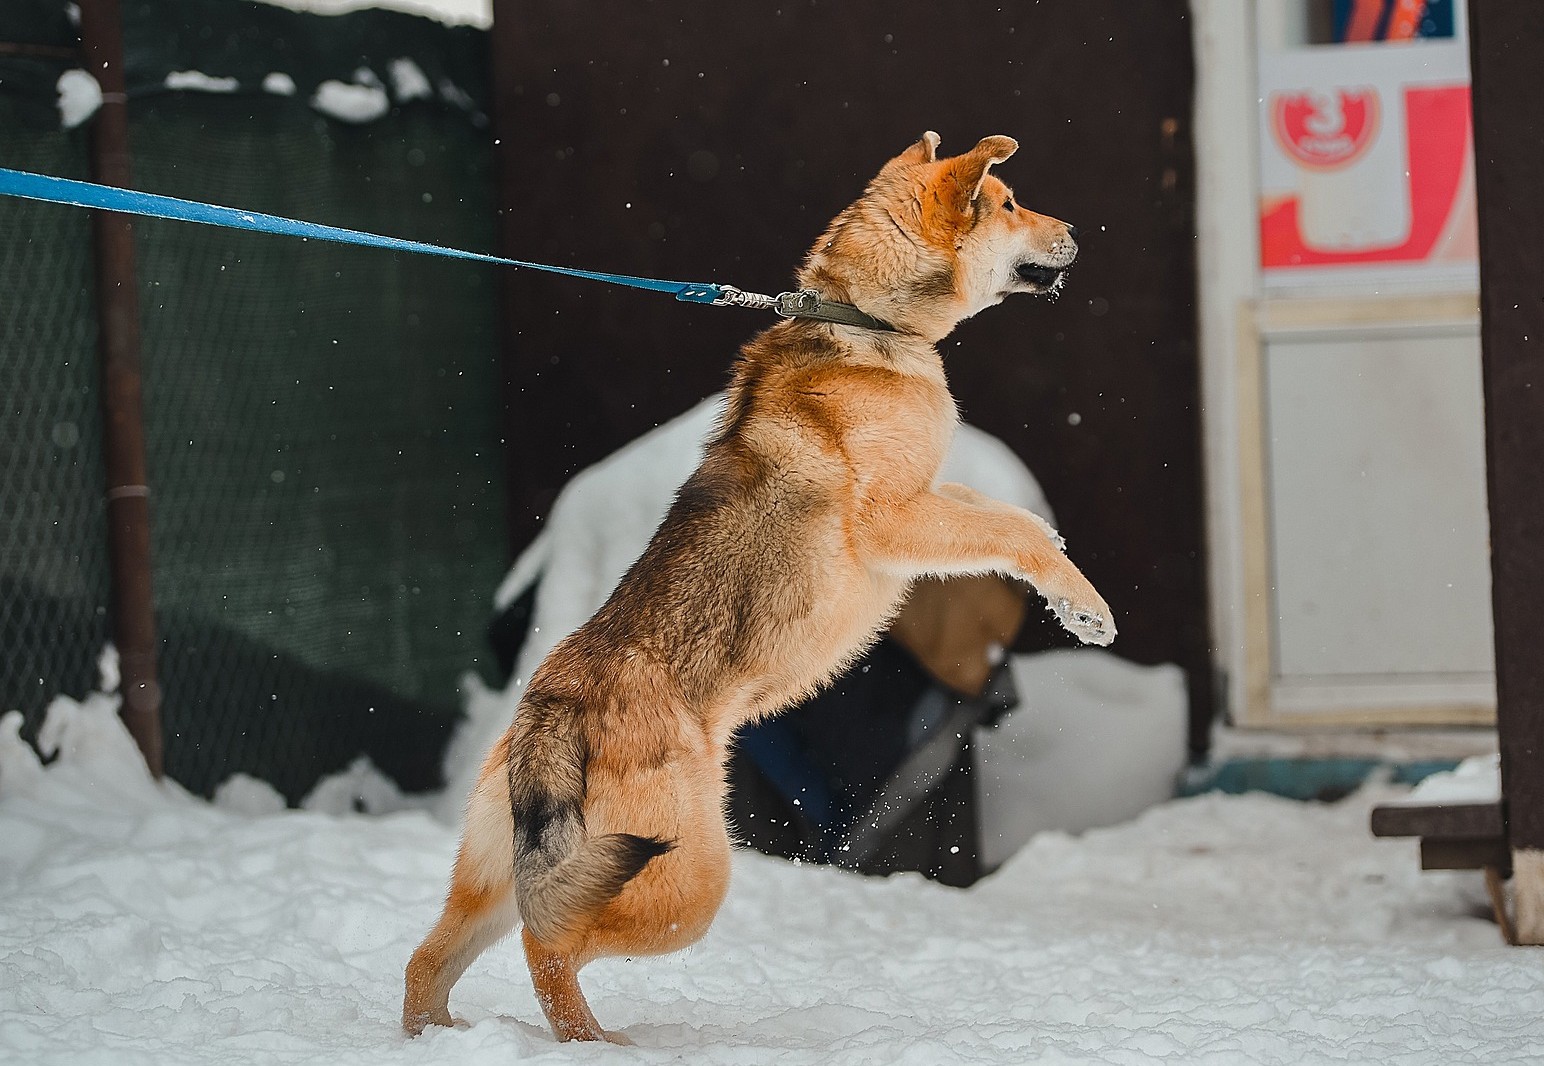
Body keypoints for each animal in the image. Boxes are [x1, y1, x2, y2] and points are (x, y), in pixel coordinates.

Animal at [404, 130, 1117, 1038]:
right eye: (1010, 202)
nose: (1079, 232)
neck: (862, 320)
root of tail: (549, 712)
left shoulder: (931, 500)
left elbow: (1012, 520)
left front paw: (1067, 588)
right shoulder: (895, 520)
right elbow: (1014, 531)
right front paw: (1087, 609)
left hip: (502, 868)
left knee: (430, 959)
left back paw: (443, 1036)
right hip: (682, 876)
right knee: (551, 943)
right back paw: (601, 1044)